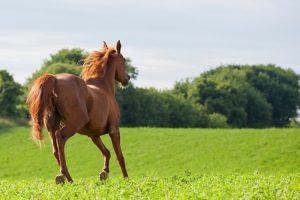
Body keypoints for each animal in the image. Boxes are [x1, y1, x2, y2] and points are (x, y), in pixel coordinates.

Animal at [27, 41, 130, 184]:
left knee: (55, 149)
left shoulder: (94, 135)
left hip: (52, 126)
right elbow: (119, 155)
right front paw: (126, 179)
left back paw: (65, 178)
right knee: (60, 137)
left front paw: (104, 173)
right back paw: (65, 176)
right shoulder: (114, 130)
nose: (127, 79)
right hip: (74, 123)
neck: (103, 87)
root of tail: (55, 79)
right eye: (123, 60)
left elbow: (106, 152)